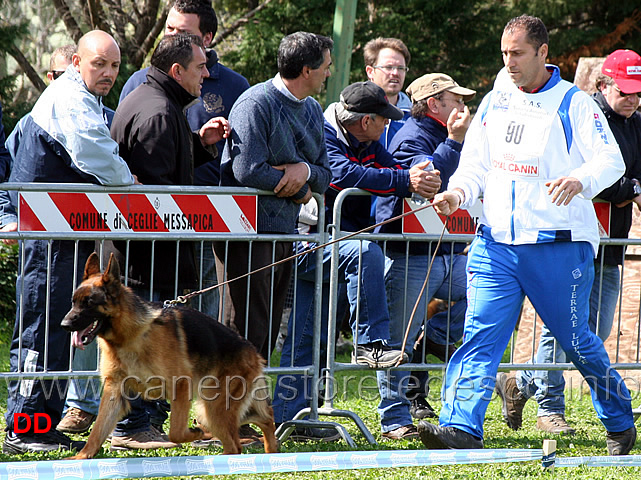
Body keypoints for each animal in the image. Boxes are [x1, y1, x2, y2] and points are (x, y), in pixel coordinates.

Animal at [60, 251, 278, 458]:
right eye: (73, 302)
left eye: (89, 303)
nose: (64, 325)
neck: (130, 335)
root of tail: (253, 352)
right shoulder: (114, 391)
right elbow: (97, 432)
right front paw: (80, 458)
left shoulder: (180, 385)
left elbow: (176, 433)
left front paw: (195, 434)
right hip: (213, 409)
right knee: (263, 419)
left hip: (213, 408)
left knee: (248, 432)